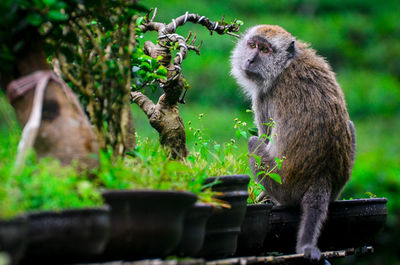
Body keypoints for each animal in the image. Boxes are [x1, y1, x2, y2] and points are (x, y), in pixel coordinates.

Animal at [230, 25, 358, 262]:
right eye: (252, 45)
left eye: (265, 50)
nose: (250, 59)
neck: (286, 65)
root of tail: (321, 176)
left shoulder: (263, 97)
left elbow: (264, 137)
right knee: (350, 126)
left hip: (284, 187)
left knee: (254, 143)